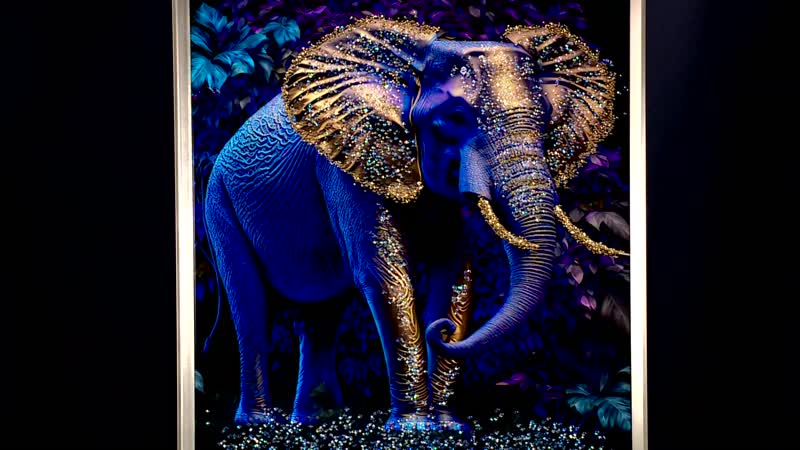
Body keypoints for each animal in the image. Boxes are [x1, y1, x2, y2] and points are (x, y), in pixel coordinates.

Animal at [203, 17, 627, 433]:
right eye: (455, 118)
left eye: (545, 118)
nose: (441, 330)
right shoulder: (345, 165)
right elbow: (386, 277)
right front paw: (414, 429)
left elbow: (456, 273)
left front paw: (448, 428)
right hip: (219, 204)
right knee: (252, 305)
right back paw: (260, 425)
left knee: (323, 312)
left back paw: (316, 421)